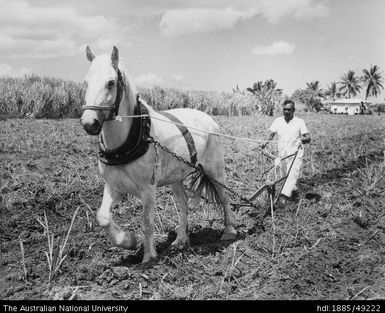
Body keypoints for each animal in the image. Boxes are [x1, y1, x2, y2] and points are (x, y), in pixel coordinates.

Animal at [80, 45, 236, 260]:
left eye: (110, 82)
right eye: (85, 82)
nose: (89, 123)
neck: (124, 145)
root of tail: (208, 118)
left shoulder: (148, 189)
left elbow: (147, 223)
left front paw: (148, 257)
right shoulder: (114, 186)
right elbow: (102, 216)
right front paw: (127, 241)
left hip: (215, 171)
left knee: (225, 197)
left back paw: (229, 232)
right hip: (176, 178)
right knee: (184, 205)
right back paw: (179, 241)